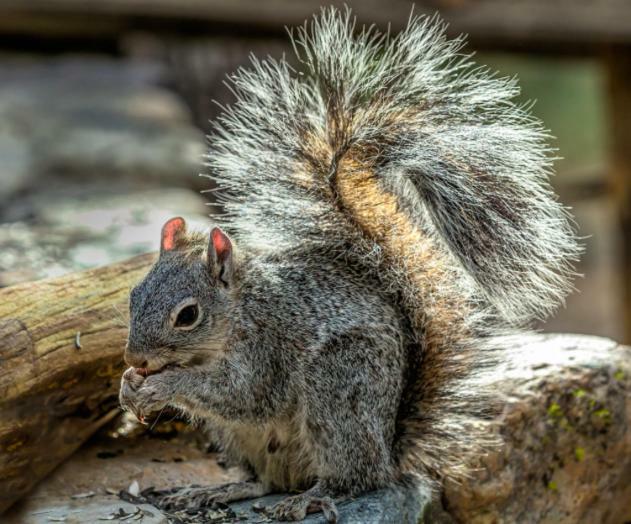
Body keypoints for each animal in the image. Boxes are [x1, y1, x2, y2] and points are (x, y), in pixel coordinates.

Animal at [117, 6, 576, 520]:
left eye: (188, 315)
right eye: (133, 295)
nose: (135, 358)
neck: (234, 318)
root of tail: (389, 451)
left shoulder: (267, 349)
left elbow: (242, 393)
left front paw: (160, 385)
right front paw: (127, 386)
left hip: (338, 390)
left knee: (352, 479)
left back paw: (313, 497)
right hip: (245, 439)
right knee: (265, 480)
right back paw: (220, 490)